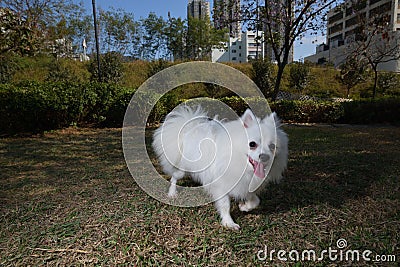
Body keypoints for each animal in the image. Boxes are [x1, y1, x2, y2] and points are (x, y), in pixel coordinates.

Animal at [152, 105, 288, 229]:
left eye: (272, 146)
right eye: (252, 144)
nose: (264, 156)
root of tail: (189, 130)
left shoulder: (245, 184)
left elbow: (255, 200)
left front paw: (244, 207)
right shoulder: (221, 186)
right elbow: (225, 205)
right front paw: (229, 223)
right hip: (183, 169)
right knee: (174, 177)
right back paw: (172, 193)